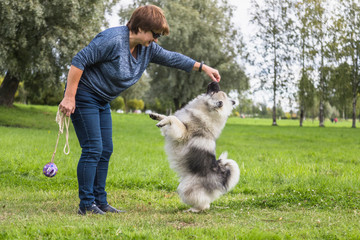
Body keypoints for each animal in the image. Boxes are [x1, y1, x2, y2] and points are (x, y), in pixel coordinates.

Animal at [149, 82, 239, 212]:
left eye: (214, 91)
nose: (214, 82)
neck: (206, 112)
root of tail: (220, 176)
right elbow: (169, 116)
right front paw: (157, 116)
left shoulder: (182, 132)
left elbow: (173, 118)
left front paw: (162, 121)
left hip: (186, 188)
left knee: (204, 205)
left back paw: (191, 210)